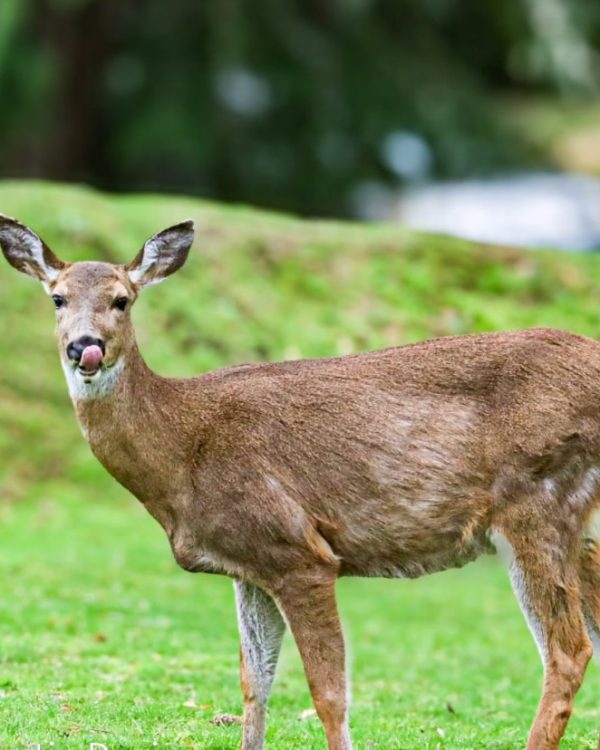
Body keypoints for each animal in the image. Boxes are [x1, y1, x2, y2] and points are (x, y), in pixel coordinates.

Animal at [2, 214, 600, 750]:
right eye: (57, 298)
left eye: (122, 299)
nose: (85, 346)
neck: (184, 453)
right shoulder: (247, 566)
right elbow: (254, 686)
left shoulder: (298, 551)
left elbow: (328, 693)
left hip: (540, 499)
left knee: (567, 651)